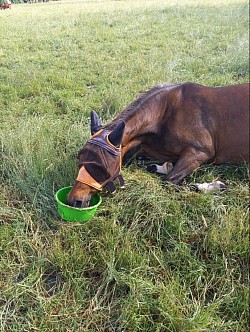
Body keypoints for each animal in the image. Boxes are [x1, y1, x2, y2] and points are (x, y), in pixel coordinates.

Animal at [67, 82, 250, 208]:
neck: (166, 113)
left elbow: (169, 181)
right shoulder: (150, 149)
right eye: (79, 160)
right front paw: (164, 166)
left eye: (100, 167)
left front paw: (214, 186)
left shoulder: (200, 152)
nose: (73, 200)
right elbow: (139, 161)